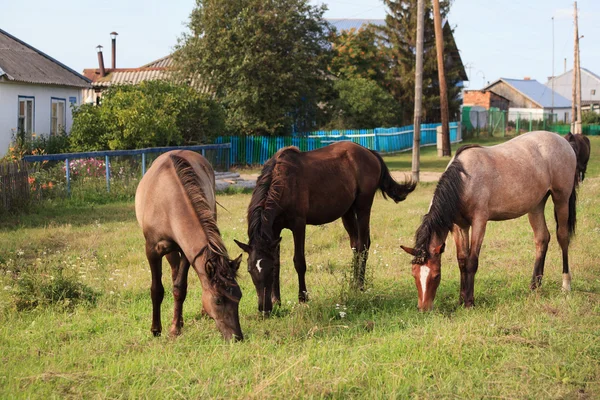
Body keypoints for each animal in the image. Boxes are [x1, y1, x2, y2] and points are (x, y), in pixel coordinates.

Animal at [135, 150, 243, 340]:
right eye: (218, 300)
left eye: (240, 296)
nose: (237, 336)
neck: (169, 203)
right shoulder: (152, 250)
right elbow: (156, 289)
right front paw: (156, 329)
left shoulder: (187, 251)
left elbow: (180, 288)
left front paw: (175, 328)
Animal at [236, 141, 418, 312]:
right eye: (249, 270)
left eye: (267, 270)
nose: (264, 309)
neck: (282, 183)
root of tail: (369, 152)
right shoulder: (274, 230)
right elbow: (278, 262)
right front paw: (276, 300)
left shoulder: (298, 225)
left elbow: (299, 261)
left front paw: (303, 298)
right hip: (347, 211)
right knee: (356, 244)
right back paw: (352, 285)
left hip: (363, 207)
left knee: (364, 245)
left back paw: (360, 286)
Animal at [400, 131, 580, 312]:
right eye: (414, 274)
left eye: (436, 275)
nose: (423, 308)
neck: (464, 180)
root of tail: (563, 141)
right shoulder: (460, 227)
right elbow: (462, 261)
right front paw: (461, 300)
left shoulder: (479, 222)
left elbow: (472, 261)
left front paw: (469, 302)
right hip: (536, 205)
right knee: (542, 238)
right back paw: (535, 286)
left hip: (561, 199)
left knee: (562, 237)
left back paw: (566, 285)